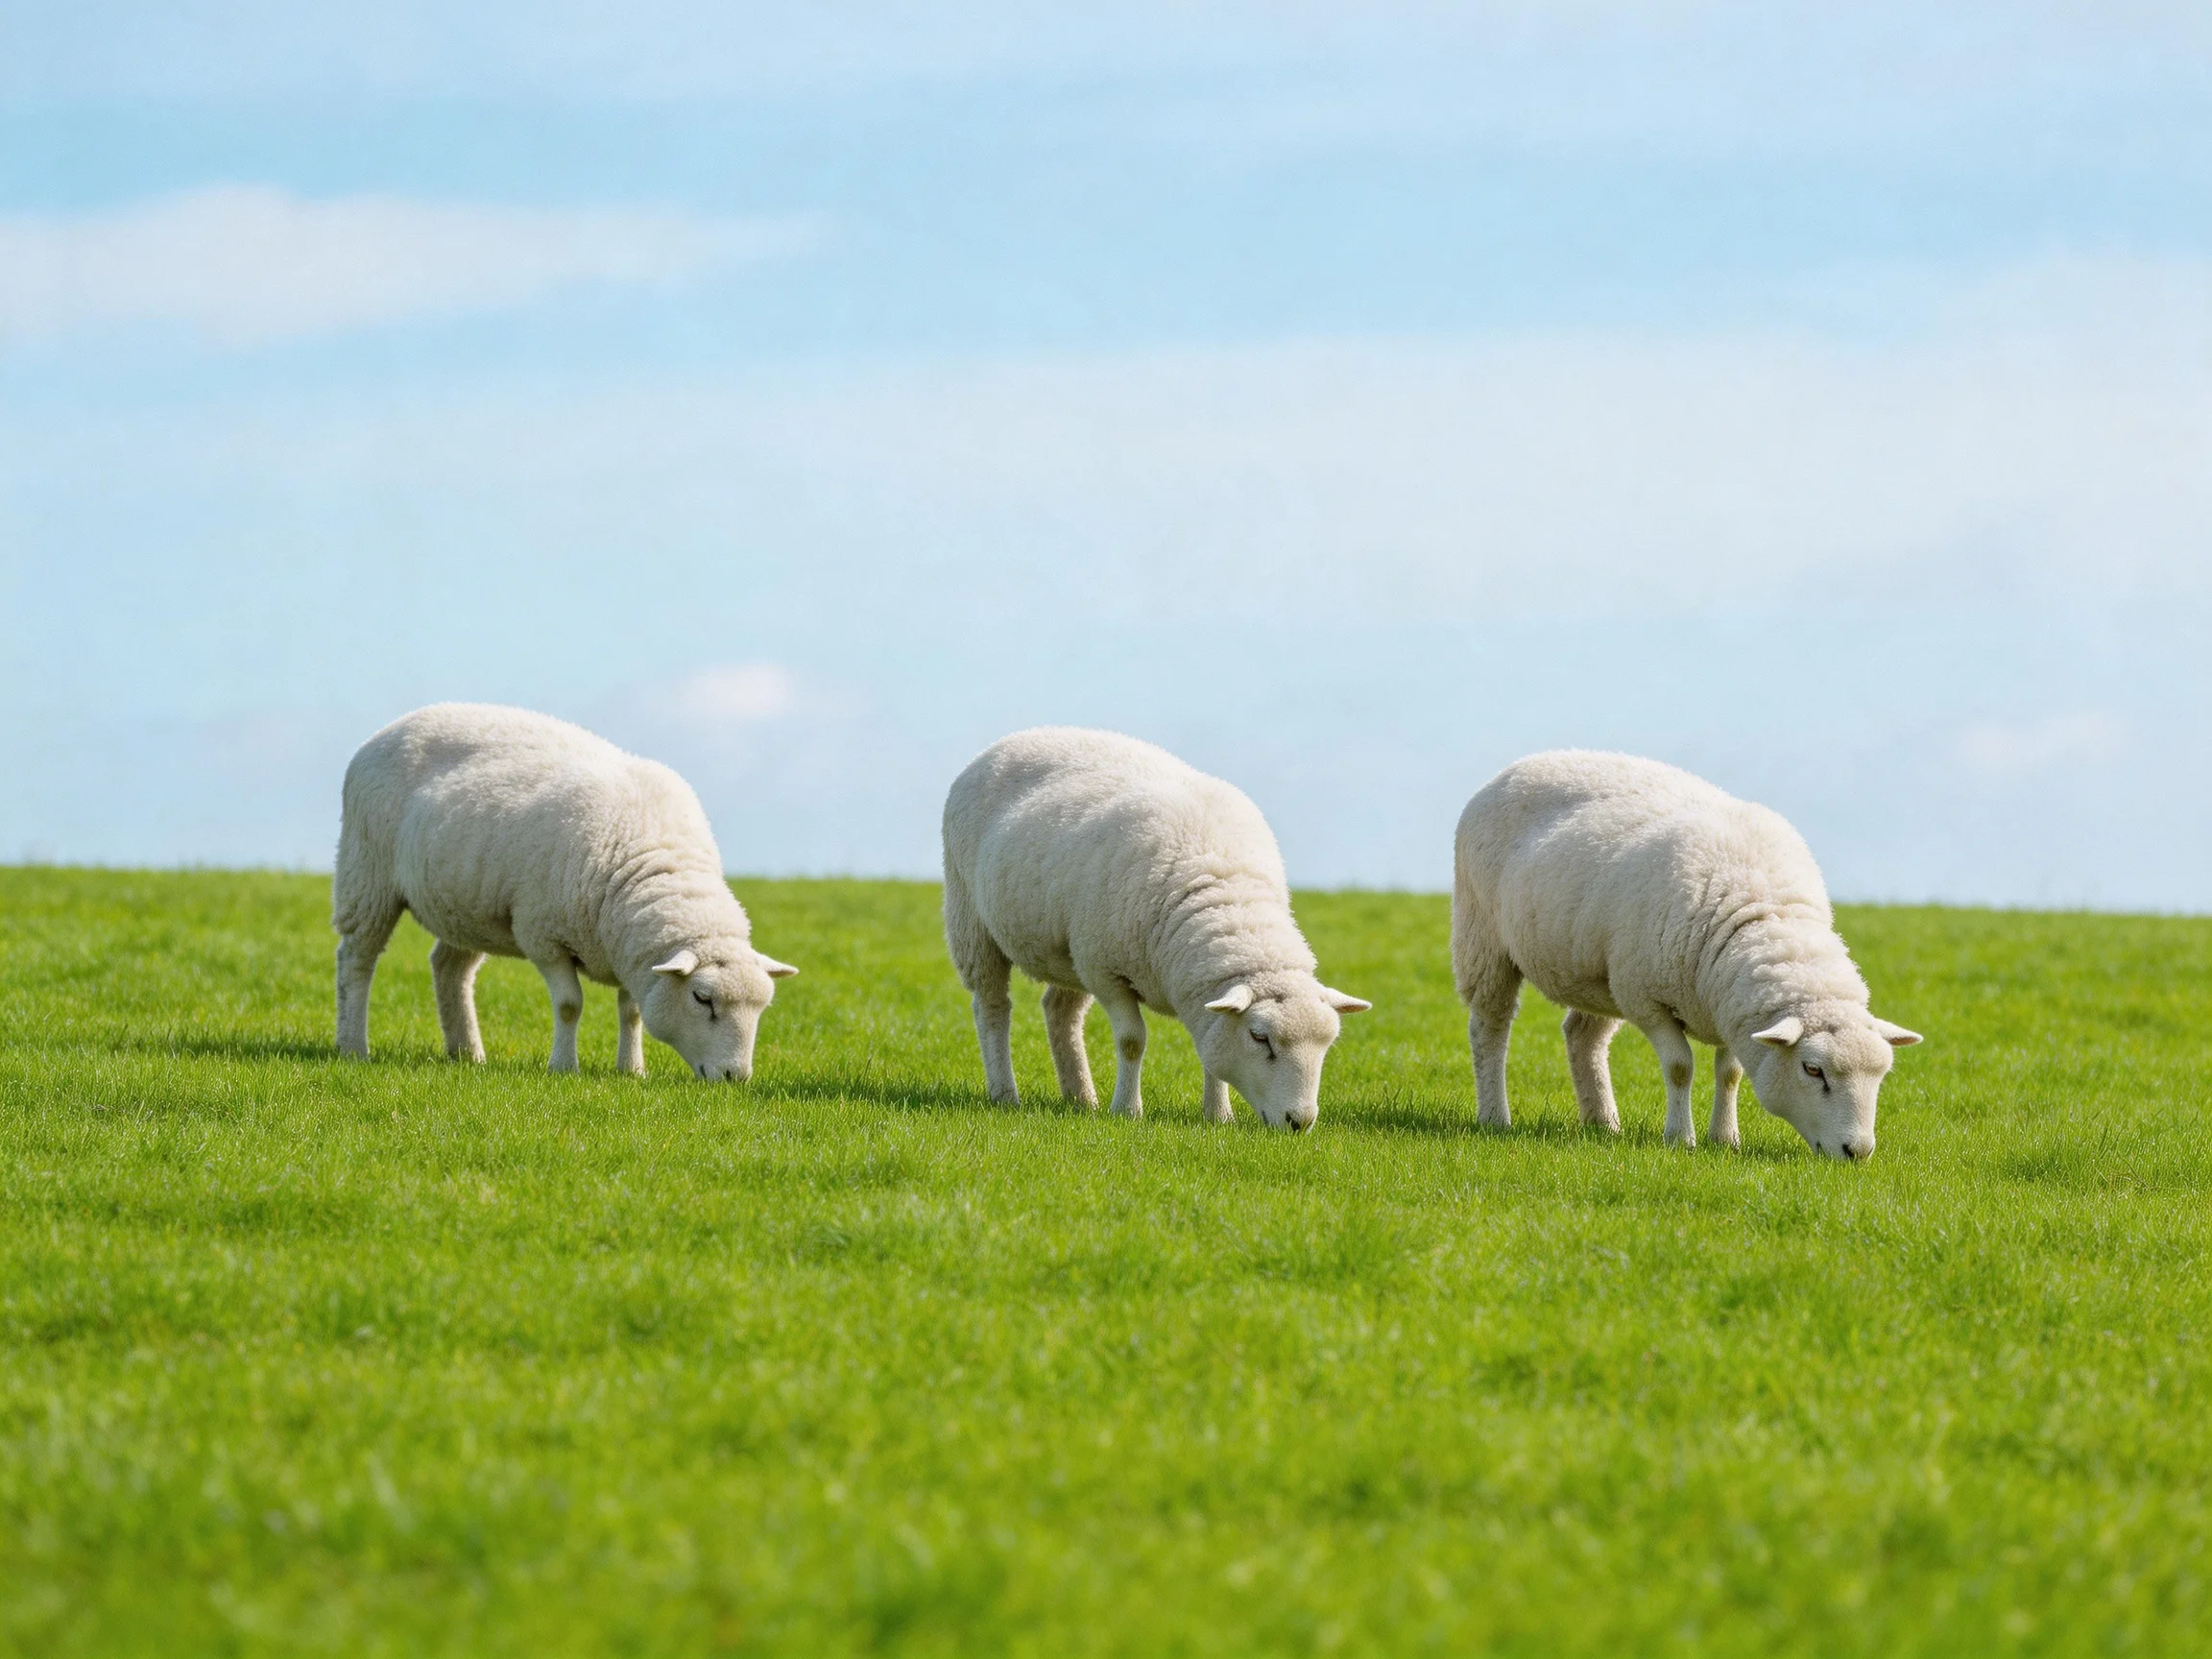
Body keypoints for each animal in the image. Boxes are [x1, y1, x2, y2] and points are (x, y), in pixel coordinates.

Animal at [332, 703, 796, 1079]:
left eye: (762, 1008)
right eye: (702, 998)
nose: (736, 1077)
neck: (657, 858)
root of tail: (394, 725)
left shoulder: (628, 949)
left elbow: (632, 1012)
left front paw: (632, 1070)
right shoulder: (544, 935)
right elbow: (570, 1005)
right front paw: (563, 1068)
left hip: (467, 904)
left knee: (450, 968)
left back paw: (467, 1054)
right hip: (366, 872)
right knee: (356, 960)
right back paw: (353, 1047)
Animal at [942, 727, 1370, 1131]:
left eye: (1327, 1043)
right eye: (1259, 1037)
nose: (1300, 1122)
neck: (1225, 887)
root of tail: (1020, 736)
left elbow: (1211, 1053)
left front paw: (1219, 1116)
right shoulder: (1106, 971)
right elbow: (1132, 1041)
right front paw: (1127, 1110)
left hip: (1068, 948)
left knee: (1060, 1012)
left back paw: (1081, 1098)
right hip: (972, 920)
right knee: (993, 1008)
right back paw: (1005, 1094)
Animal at [1451, 751, 1920, 1160]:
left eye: (1881, 1075)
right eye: (1812, 1070)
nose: (1857, 1152)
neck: (1764, 914)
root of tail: (1526, 762)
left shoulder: (1730, 1006)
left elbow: (1729, 1073)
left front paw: (1725, 1139)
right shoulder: (1646, 998)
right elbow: (1680, 1067)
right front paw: (1681, 1138)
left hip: (1599, 972)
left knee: (1583, 1038)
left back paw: (1603, 1123)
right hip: (1484, 938)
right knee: (1489, 1028)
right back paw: (1495, 1117)